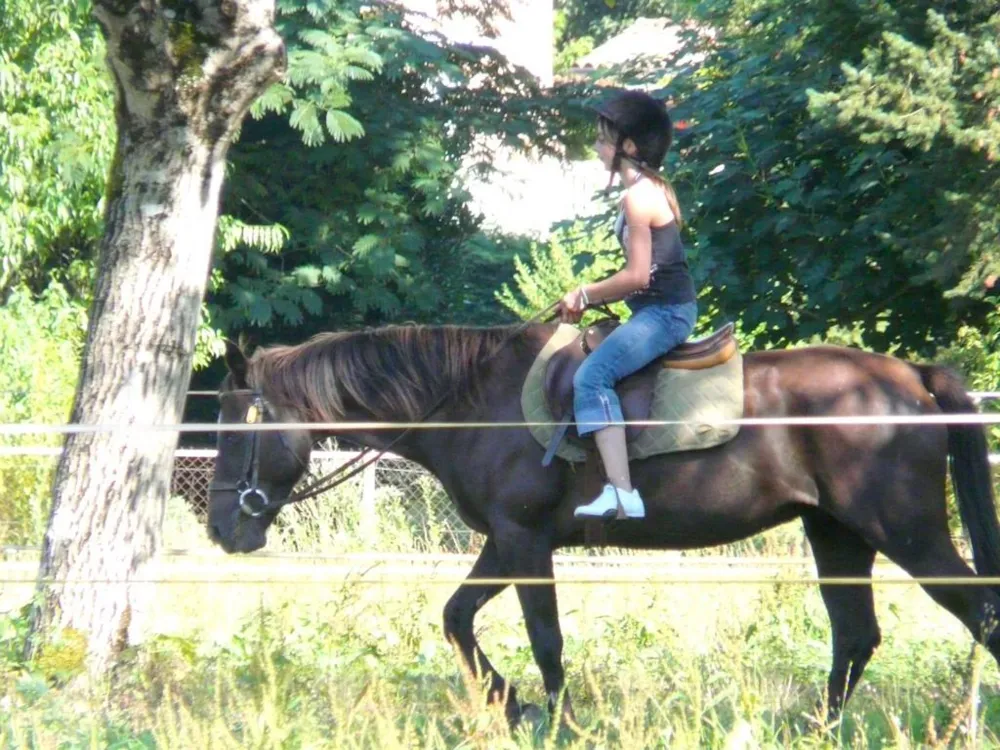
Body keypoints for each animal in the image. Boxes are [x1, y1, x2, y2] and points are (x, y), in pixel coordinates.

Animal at [207, 324, 1000, 728]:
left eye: (237, 427)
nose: (220, 529)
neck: (471, 400)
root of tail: (909, 377)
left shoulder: (523, 540)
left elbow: (545, 639)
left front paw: (552, 720)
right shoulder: (504, 542)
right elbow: (458, 617)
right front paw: (516, 707)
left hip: (909, 535)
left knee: (978, 614)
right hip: (837, 534)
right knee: (856, 637)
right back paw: (814, 730)